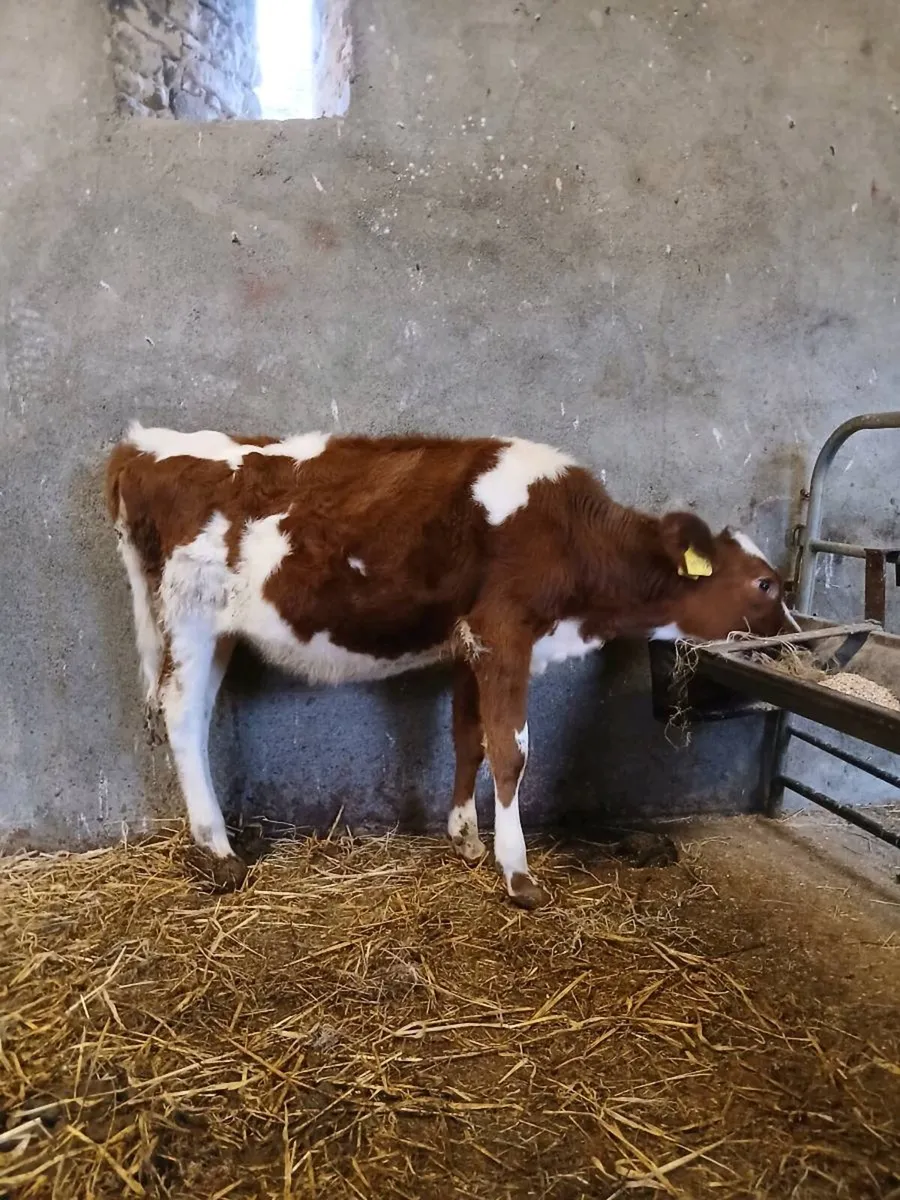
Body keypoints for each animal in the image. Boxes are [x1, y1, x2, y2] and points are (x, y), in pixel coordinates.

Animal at [106, 423, 791, 907]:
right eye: (765, 584)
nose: (792, 643)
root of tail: (141, 446)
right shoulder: (505, 632)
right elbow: (513, 751)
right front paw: (517, 873)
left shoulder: (469, 644)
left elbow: (471, 738)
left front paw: (464, 838)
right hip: (190, 618)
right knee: (183, 715)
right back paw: (218, 849)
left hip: (216, 630)